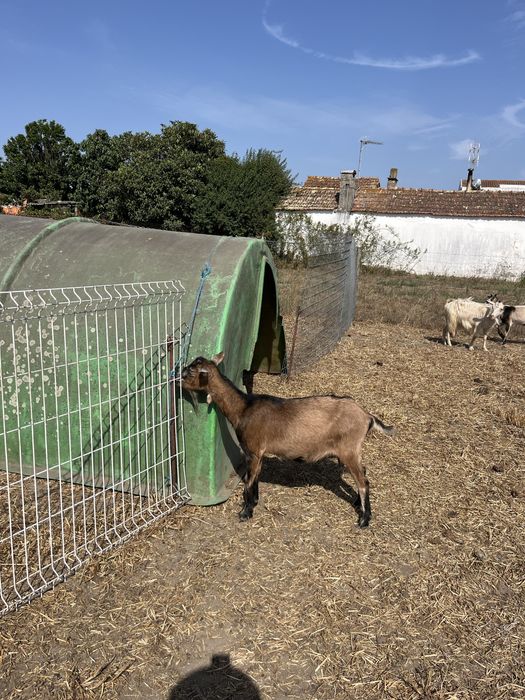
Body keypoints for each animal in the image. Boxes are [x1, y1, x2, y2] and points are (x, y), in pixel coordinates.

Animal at [180, 352, 394, 528]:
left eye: (190, 371)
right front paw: (254, 503)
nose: (177, 378)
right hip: (350, 452)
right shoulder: (260, 454)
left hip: (349, 449)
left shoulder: (253, 450)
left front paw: (245, 512)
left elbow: (249, 481)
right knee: (363, 473)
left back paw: (364, 520)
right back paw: (358, 504)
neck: (243, 408)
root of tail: (367, 416)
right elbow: (256, 478)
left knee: (363, 481)